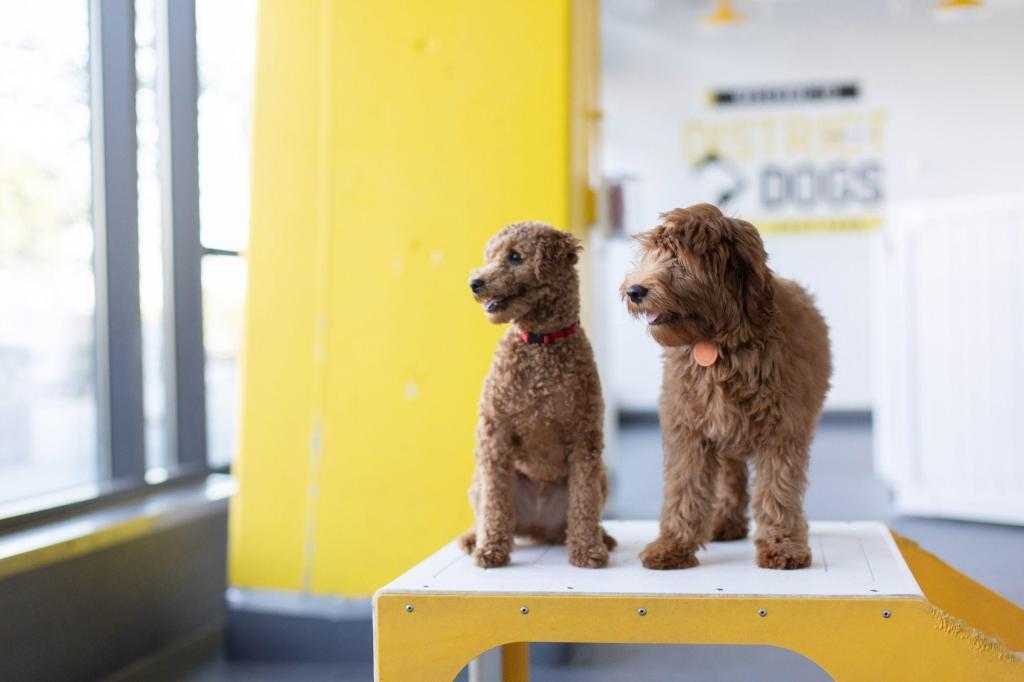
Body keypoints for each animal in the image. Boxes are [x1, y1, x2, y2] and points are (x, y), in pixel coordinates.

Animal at [462, 220, 614, 565]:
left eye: (515, 256)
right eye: (490, 257)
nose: (474, 283)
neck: (540, 342)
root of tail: (536, 527)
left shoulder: (585, 438)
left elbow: (584, 501)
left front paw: (587, 550)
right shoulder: (494, 434)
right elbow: (494, 502)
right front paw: (491, 549)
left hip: (602, 476)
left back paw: (602, 537)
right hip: (479, 480)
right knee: (486, 508)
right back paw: (474, 539)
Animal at [614, 201, 831, 569]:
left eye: (679, 259)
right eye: (653, 255)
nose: (634, 290)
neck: (717, 344)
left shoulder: (782, 431)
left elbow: (778, 489)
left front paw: (782, 546)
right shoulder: (688, 428)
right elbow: (684, 488)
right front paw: (673, 545)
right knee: (731, 476)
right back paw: (725, 521)